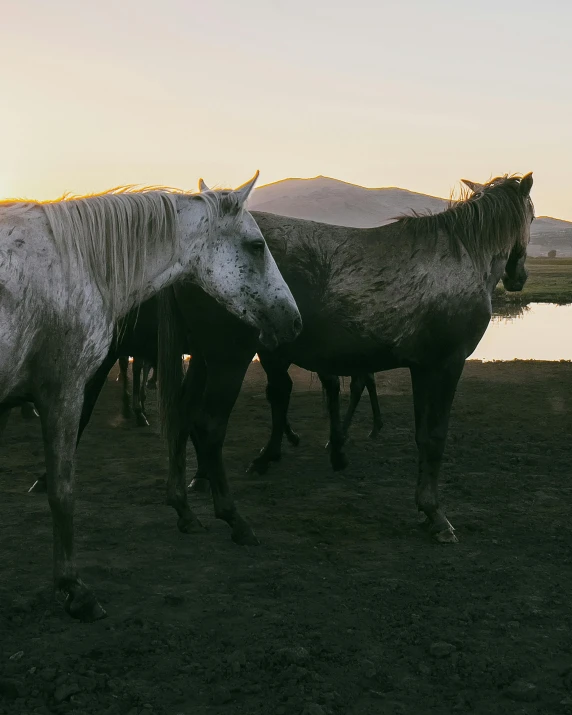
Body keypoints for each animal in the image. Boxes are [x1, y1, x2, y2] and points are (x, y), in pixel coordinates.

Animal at [0, 173, 302, 620]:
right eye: (257, 245)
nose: (294, 320)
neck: (76, 264)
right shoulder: (63, 391)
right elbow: (62, 491)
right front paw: (73, 589)